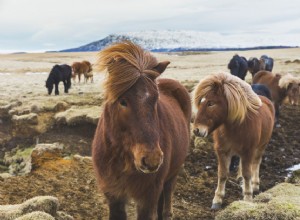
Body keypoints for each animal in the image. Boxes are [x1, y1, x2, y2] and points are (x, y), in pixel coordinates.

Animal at [91, 40, 191, 219]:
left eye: (156, 99)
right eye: (123, 101)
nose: (152, 159)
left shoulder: (147, 197)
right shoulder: (113, 195)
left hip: (173, 172)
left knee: (168, 194)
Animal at [192, 72, 274, 210]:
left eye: (210, 103)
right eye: (201, 102)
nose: (196, 130)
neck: (235, 127)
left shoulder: (248, 152)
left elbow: (247, 174)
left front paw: (247, 198)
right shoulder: (222, 151)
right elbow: (222, 174)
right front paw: (217, 200)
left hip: (261, 146)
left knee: (256, 163)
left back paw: (255, 185)